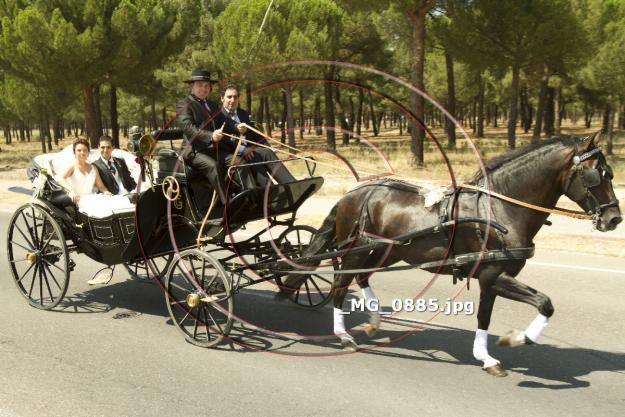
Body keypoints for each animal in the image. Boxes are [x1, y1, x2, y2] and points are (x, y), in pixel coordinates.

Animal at [282, 132, 620, 374]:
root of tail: (351, 194)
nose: (614, 218)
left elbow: (486, 316)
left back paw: (374, 321)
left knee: (361, 278)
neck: (498, 209)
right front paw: (517, 338)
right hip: (355, 250)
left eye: (610, 173)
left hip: (385, 251)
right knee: (341, 284)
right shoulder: (494, 275)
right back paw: (343, 336)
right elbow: (545, 303)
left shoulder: (490, 278)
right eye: (595, 174)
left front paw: (486, 357)